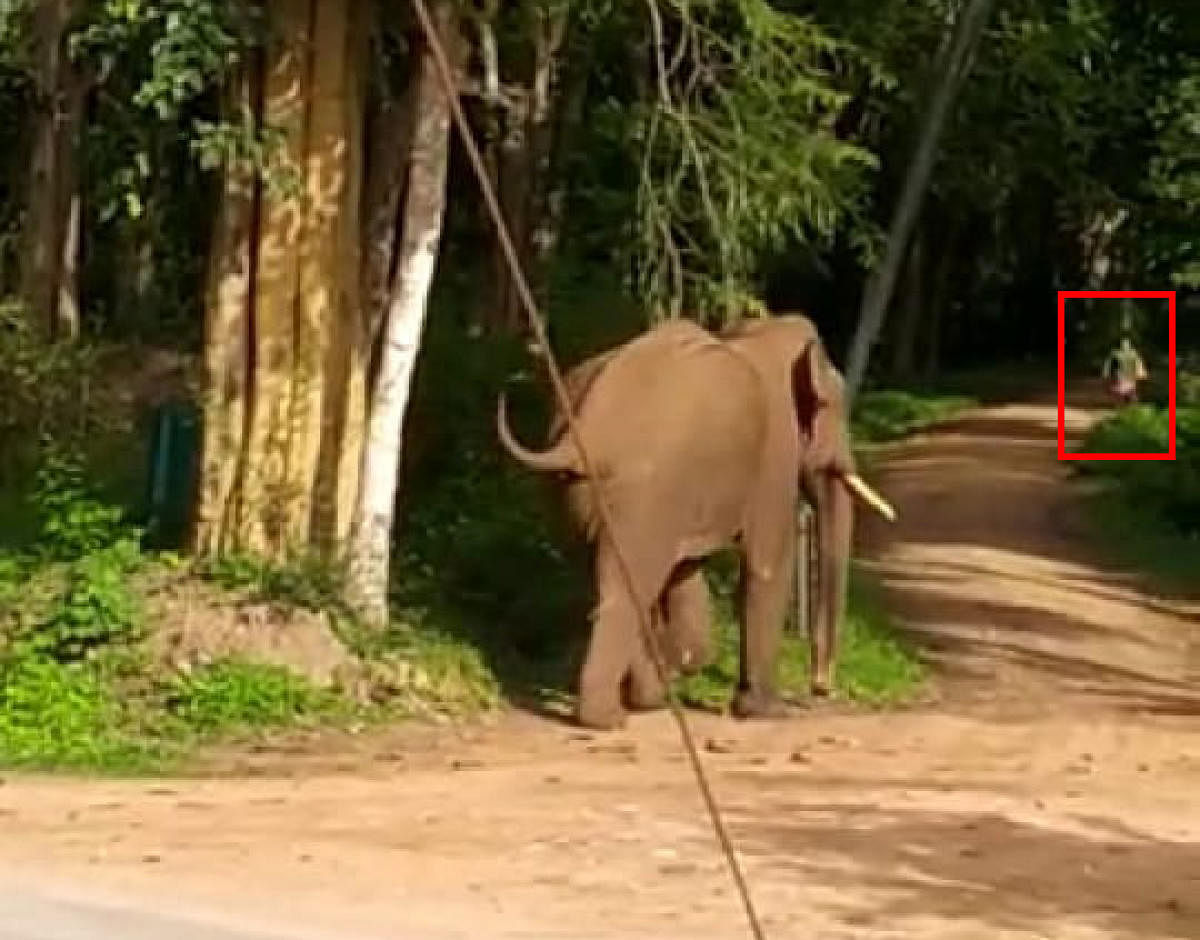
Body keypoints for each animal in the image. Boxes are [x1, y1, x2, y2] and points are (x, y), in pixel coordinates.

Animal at [496, 314, 892, 729]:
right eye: (834, 407)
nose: (819, 688)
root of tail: (576, 437)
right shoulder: (773, 452)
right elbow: (766, 567)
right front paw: (767, 712)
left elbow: (686, 573)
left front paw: (680, 660)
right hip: (639, 496)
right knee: (627, 590)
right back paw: (608, 718)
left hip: (572, 494)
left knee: (602, 579)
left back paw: (647, 699)